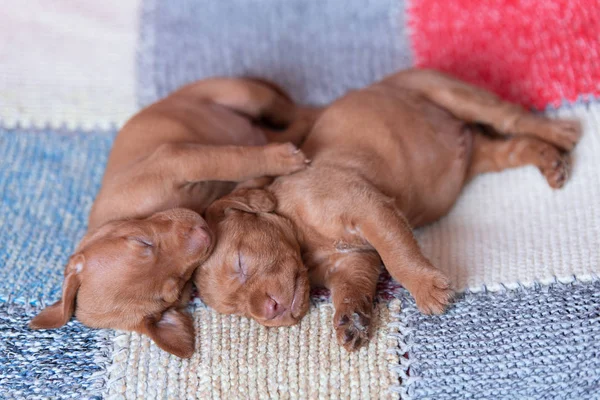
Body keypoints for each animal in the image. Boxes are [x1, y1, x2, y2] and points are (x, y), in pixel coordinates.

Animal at [29, 77, 318, 356]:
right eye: (176, 288)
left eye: (141, 241)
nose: (203, 234)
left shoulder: (179, 159)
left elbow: (232, 161)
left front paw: (283, 159)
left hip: (243, 93)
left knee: (291, 113)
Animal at [197, 69, 580, 350]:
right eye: (239, 312)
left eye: (241, 263)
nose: (269, 312)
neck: (305, 241)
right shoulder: (354, 261)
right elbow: (352, 287)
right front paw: (351, 318)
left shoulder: (369, 207)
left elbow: (397, 254)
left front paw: (427, 290)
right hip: (483, 156)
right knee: (515, 147)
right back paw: (550, 161)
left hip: (448, 92)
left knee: (509, 116)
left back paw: (560, 130)